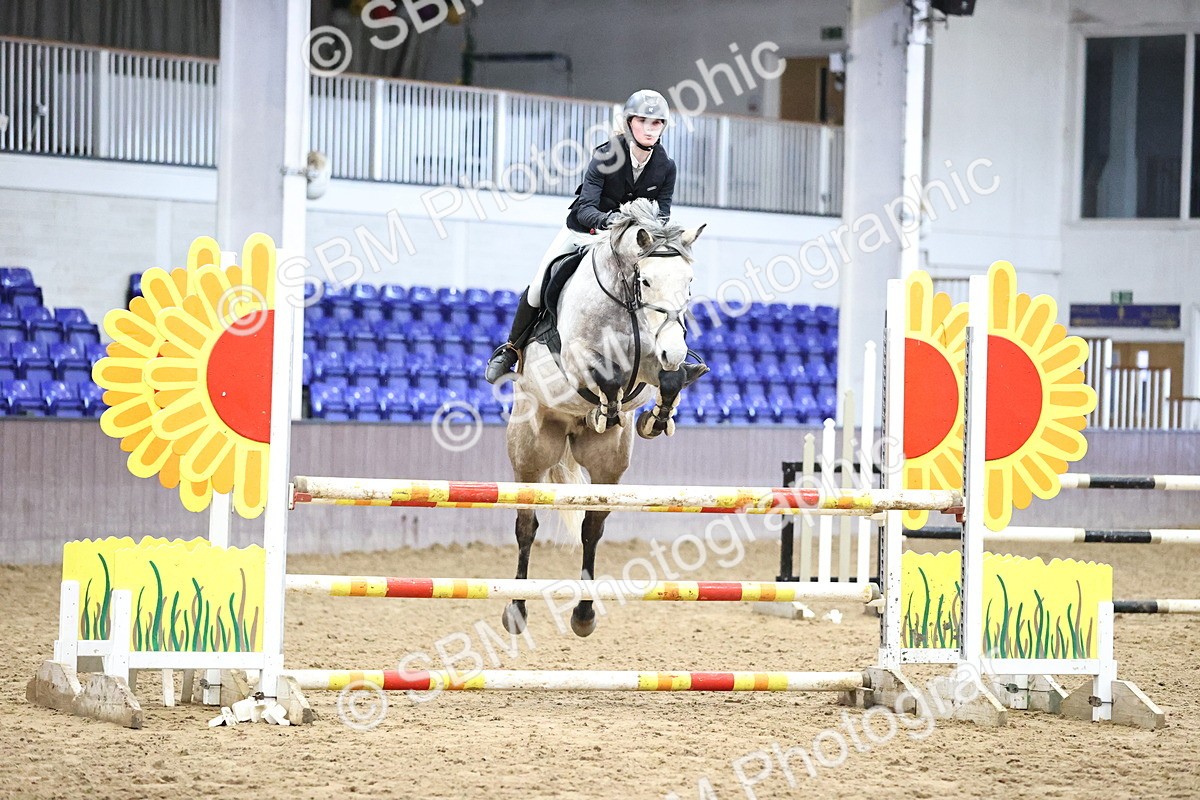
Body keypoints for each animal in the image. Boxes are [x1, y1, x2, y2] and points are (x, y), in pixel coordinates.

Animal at [501, 199, 705, 637]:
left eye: (689, 281)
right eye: (646, 280)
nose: (676, 350)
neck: (624, 301)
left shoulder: (649, 367)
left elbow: (665, 379)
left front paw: (655, 418)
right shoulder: (576, 361)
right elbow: (605, 375)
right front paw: (606, 406)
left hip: (607, 464)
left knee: (592, 529)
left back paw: (584, 614)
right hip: (530, 452)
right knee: (526, 525)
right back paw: (516, 611)